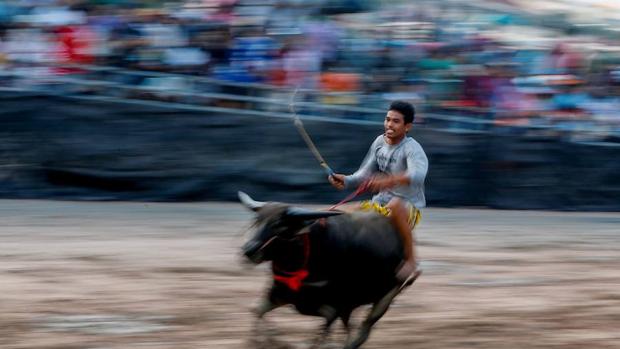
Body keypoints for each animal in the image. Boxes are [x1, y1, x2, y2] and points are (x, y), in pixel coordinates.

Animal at [240, 192, 418, 346]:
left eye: (278, 225)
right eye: (257, 220)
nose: (249, 250)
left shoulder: (334, 305)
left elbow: (323, 334)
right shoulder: (280, 293)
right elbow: (256, 310)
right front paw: (264, 339)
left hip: (387, 295)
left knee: (365, 327)